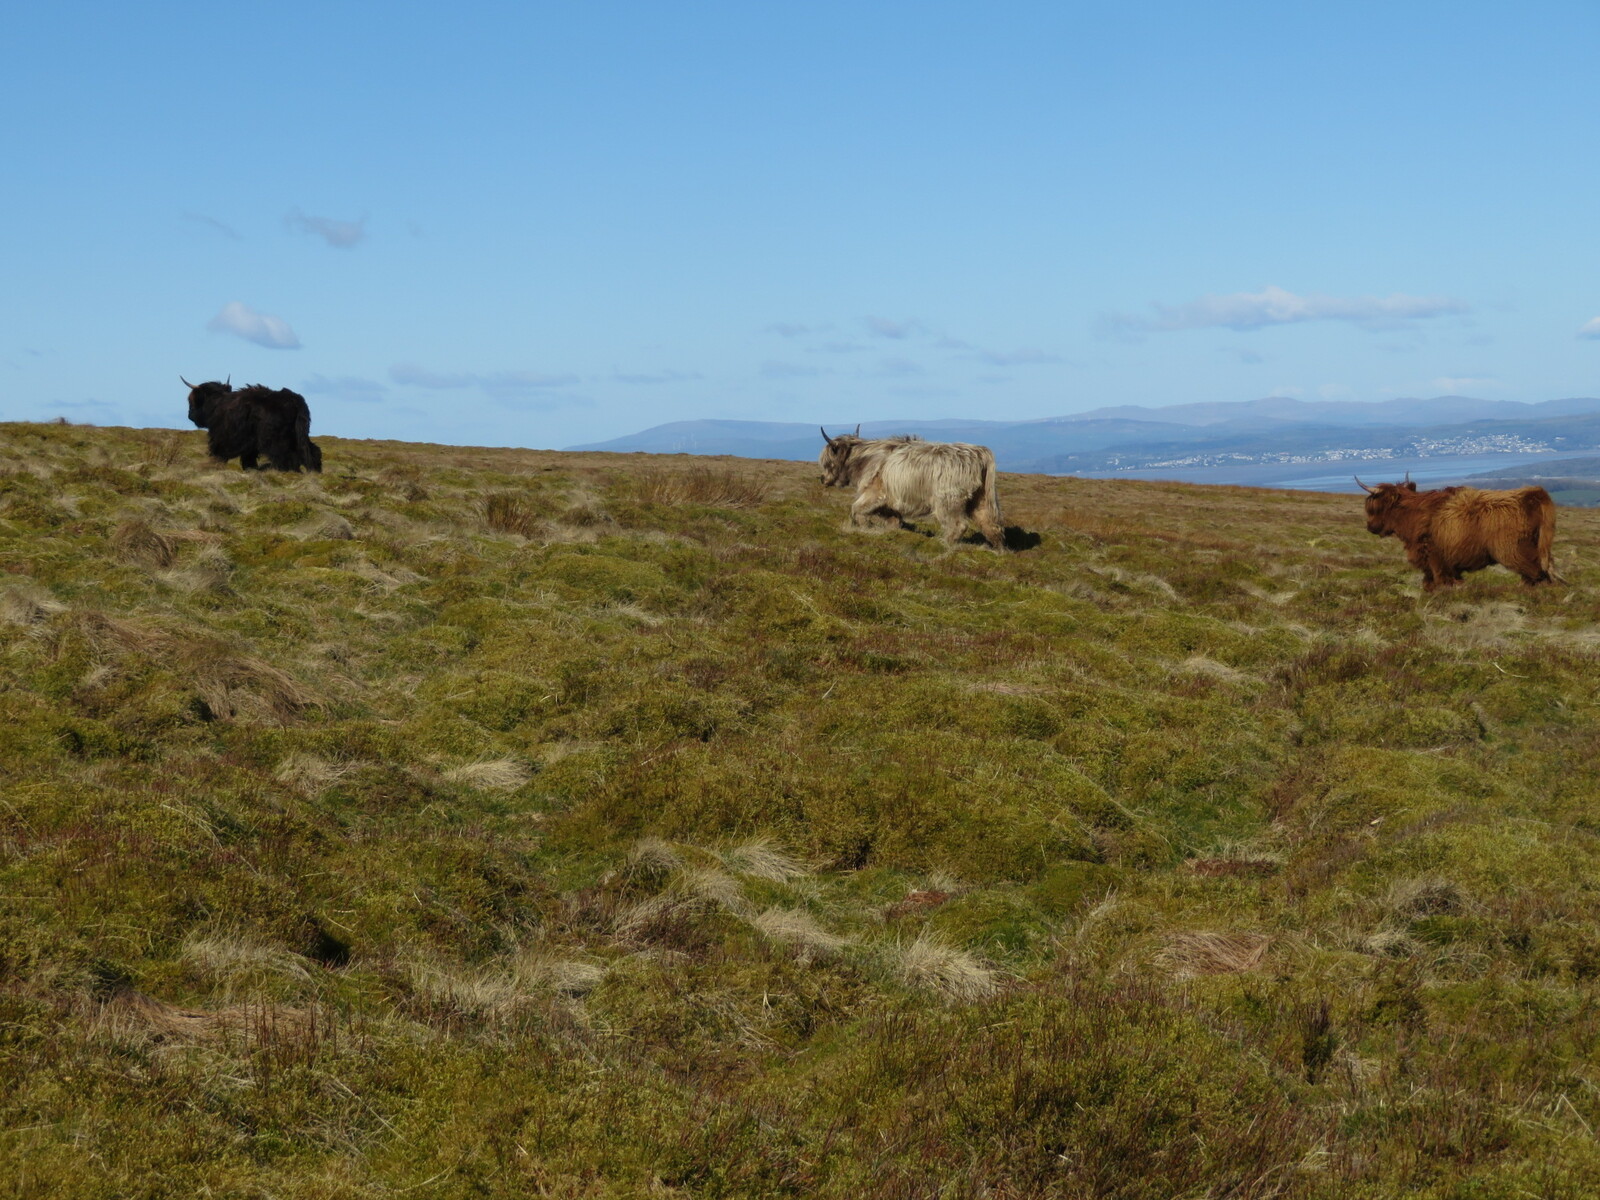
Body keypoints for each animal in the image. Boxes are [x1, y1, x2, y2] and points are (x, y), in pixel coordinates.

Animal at [182, 378, 322, 472]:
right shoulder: (250, 446)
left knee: (286, 457)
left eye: (191, 401)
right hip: (300, 435)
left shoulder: (221, 438)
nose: (190, 415)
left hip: (277, 441)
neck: (216, 403)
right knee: (312, 452)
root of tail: (295, 401)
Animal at [819, 427, 1005, 549]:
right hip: (982, 498)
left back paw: (943, 544)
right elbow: (893, 519)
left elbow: (856, 509)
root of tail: (978, 453)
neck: (863, 458)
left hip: (947, 500)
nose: (822, 479)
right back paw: (998, 551)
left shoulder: (875, 493)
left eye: (827, 461)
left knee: (958, 525)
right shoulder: (890, 501)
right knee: (990, 524)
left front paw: (865, 527)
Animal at [1356, 476, 1562, 591]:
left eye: (1373, 507)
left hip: (1515, 550)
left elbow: (1439, 580)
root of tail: (1532, 495)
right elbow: (1430, 582)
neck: (1412, 514)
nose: (1370, 526)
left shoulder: (1435, 557)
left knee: (1536, 573)